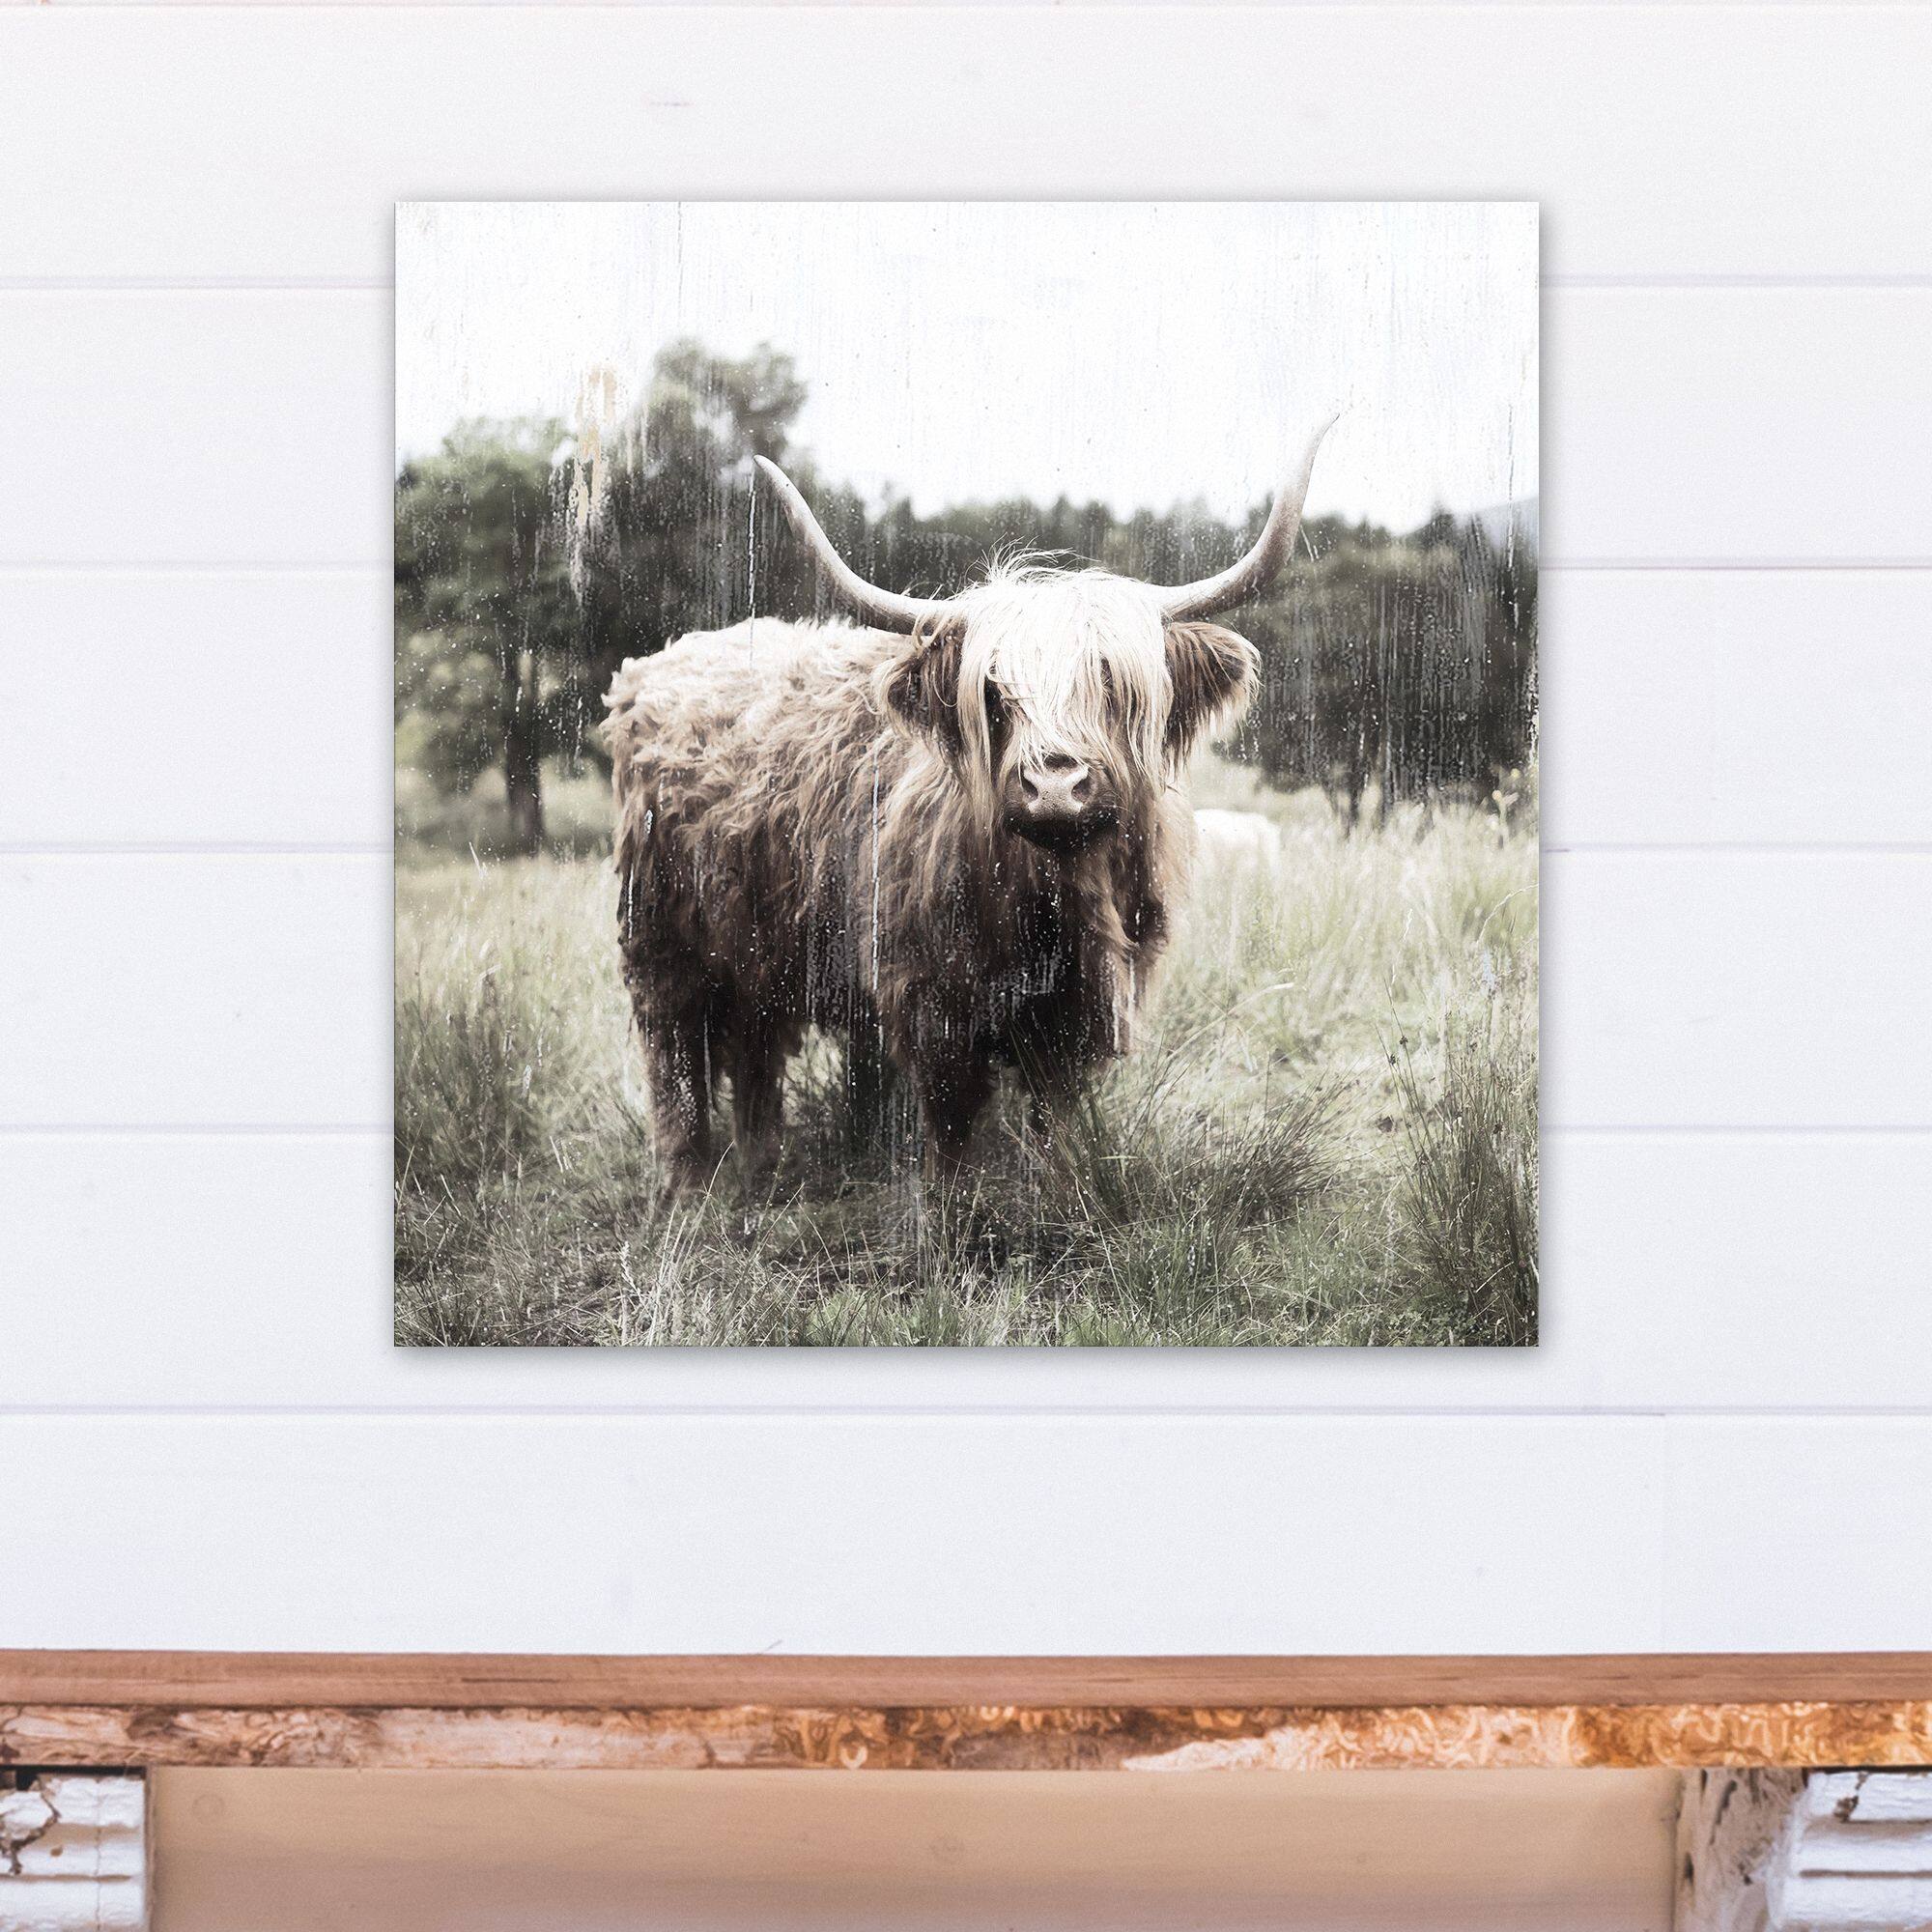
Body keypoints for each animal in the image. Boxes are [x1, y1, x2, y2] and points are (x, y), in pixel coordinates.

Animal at [604, 423, 1332, 1190]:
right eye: (993, 689)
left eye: (1110, 682)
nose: (1054, 786)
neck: (1055, 899)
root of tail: (659, 661)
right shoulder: (933, 1002)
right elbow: (950, 1132)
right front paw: (951, 1214)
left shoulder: (1081, 1015)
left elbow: (1056, 1119)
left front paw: (1058, 1190)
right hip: (658, 932)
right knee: (673, 1052)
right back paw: (686, 1186)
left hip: (756, 940)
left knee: (755, 1047)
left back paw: (762, 1170)